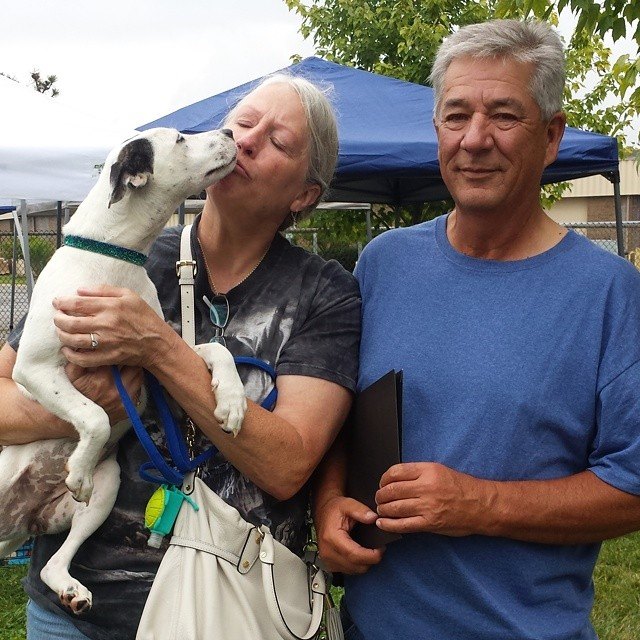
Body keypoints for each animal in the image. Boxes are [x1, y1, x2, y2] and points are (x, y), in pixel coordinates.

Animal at [0, 126, 248, 616]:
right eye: (180, 139)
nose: (231, 130)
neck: (112, 260)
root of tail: (19, 524)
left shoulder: (160, 371)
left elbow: (215, 350)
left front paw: (231, 401)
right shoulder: (33, 367)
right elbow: (94, 415)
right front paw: (77, 467)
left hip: (105, 490)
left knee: (52, 564)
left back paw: (70, 589)